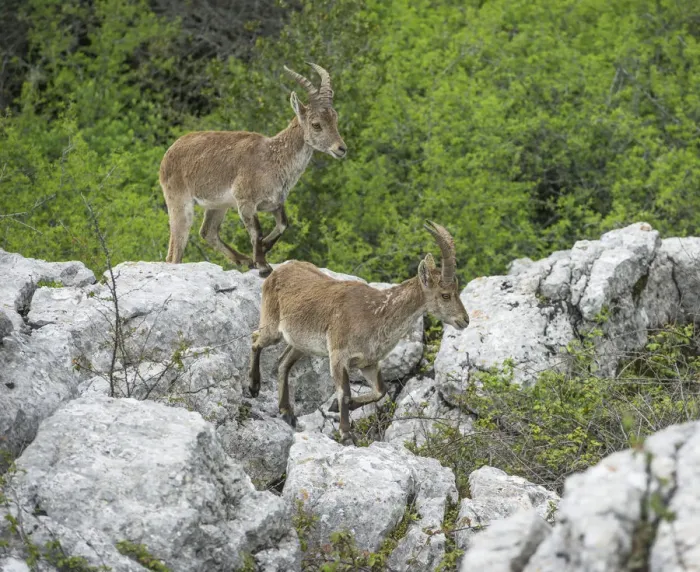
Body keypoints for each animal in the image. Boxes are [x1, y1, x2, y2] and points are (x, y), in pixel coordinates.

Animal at [159, 63, 346, 276]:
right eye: (316, 125)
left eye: (335, 119)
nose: (341, 148)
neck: (274, 158)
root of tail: (169, 152)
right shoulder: (246, 202)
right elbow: (257, 232)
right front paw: (263, 265)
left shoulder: (275, 202)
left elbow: (283, 225)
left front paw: (262, 251)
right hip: (179, 200)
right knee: (175, 250)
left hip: (218, 205)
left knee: (208, 232)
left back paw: (245, 260)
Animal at [248, 221, 470, 444]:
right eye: (445, 295)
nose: (465, 320)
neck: (377, 313)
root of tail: (277, 271)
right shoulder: (338, 356)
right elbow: (344, 392)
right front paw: (346, 434)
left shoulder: (368, 363)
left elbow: (380, 391)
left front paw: (337, 407)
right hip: (272, 326)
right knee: (255, 339)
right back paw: (254, 386)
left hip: (301, 344)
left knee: (283, 362)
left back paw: (286, 411)